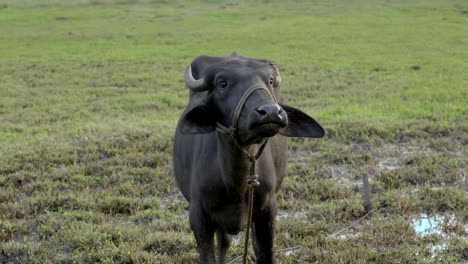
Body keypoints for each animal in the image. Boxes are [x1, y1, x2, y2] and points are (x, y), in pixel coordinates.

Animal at [174, 52, 324, 264]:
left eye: (270, 80)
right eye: (222, 83)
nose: (270, 112)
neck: (235, 183)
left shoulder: (267, 212)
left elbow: (264, 254)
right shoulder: (199, 217)